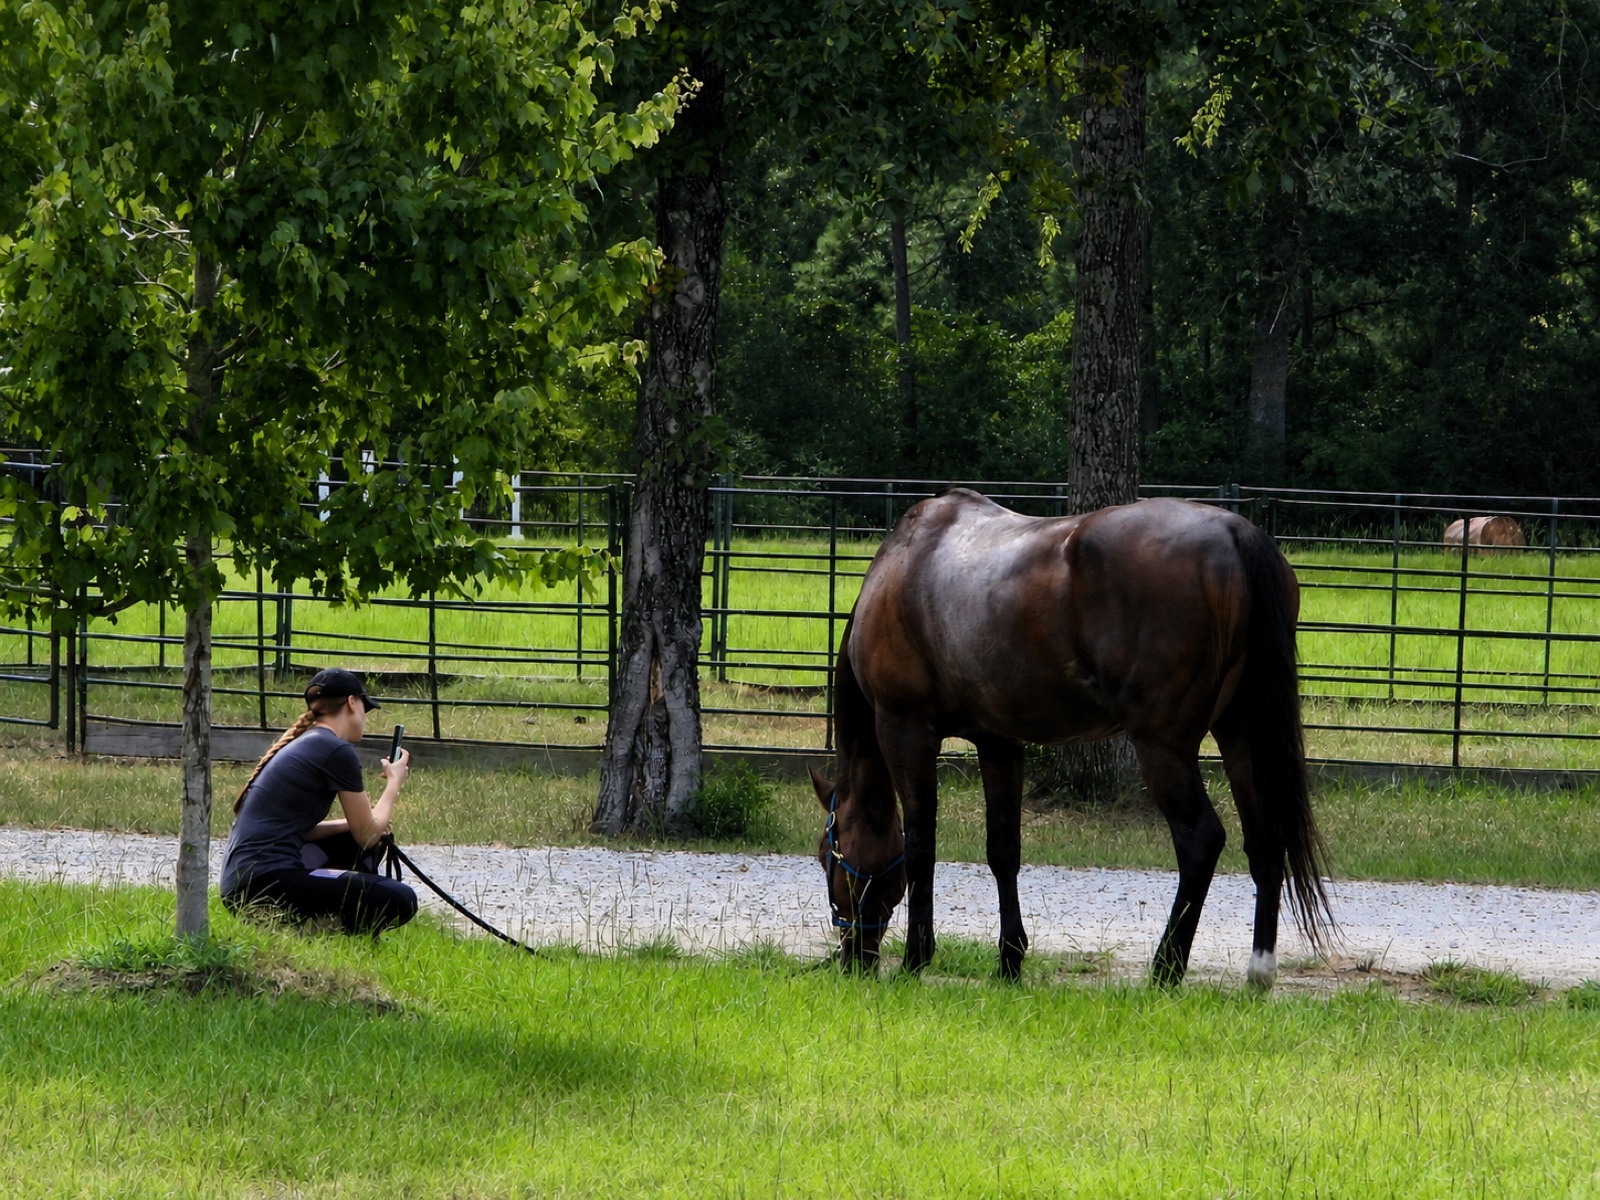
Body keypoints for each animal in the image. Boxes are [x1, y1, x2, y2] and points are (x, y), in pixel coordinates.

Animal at [812, 488, 1333, 990]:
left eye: (824, 856)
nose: (853, 958)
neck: (907, 565)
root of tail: (1235, 533)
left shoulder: (905, 731)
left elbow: (922, 845)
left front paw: (915, 959)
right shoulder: (999, 741)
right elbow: (1003, 850)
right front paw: (1010, 962)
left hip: (1163, 746)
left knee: (1200, 840)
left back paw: (1165, 970)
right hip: (1241, 733)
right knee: (1265, 840)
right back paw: (1258, 972)